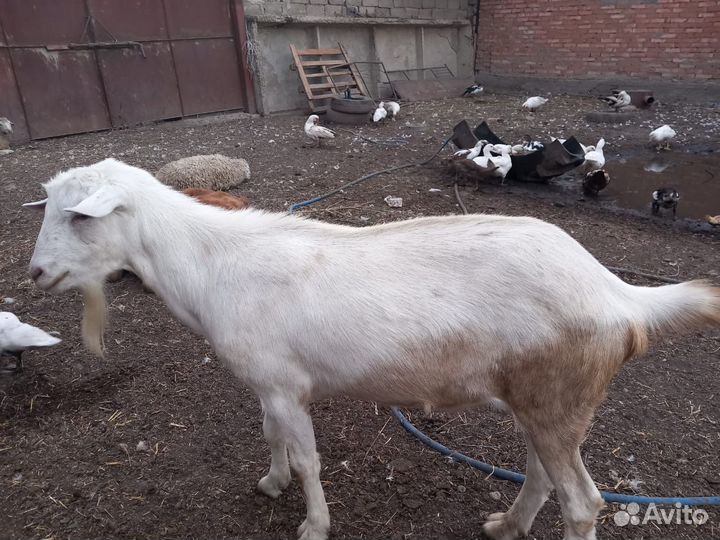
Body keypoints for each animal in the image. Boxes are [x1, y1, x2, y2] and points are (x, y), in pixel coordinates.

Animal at [25, 159, 720, 540]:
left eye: (81, 217)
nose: (35, 274)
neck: (210, 264)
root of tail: (618, 293)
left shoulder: (286, 386)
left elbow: (310, 460)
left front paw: (313, 524)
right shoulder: (266, 382)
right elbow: (271, 437)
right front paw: (271, 482)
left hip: (560, 394)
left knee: (584, 502)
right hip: (543, 399)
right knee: (544, 473)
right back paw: (505, 525)